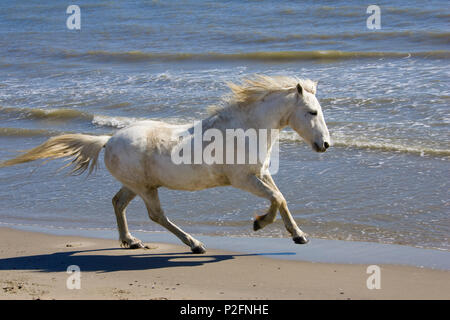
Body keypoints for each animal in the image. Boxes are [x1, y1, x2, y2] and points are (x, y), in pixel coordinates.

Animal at [0, 75, 330, 252]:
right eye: (312, 112)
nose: (325, 145)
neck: (244, 129)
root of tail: (108, 140)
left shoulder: (260, 174)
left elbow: (281, 199)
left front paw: (299, 236)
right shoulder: (244, 180)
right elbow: (277, 199)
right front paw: (259, 223)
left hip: (136, 185)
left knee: (118, 203)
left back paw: (131, 241)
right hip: (146, 188)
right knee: (156, 215)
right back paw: (194, 244)